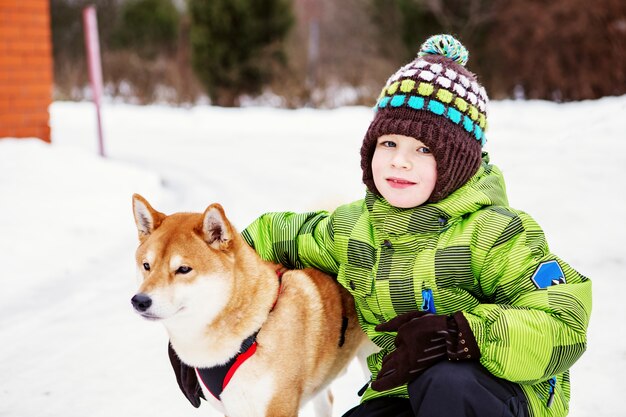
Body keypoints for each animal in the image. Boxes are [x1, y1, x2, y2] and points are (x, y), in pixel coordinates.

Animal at [129, 195, 368, 416]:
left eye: (184, 269)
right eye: (147, 266)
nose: (139, 301)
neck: (253, 332)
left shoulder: (278, 407)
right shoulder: (234, 407)